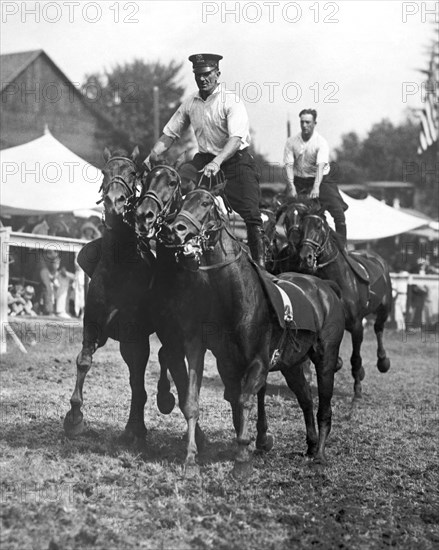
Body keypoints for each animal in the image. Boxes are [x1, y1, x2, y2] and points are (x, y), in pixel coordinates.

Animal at [63, 149, 187, 446]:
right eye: (104, 172)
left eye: (133, 174)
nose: (114, 201)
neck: (119, 267)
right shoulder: (93, 327)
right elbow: (83, 361)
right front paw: (74, 417)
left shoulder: (135, 338)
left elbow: (138, 380)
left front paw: (135, 428)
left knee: (165, 354)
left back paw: (164, 398)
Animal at [159, 185, 348, 478]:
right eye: (182, 201)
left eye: (205, 202)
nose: (175, 229)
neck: (234, 295)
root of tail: (326, 288)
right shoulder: (221, 360)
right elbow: (198, 401)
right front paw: (191, 457)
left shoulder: (258, 361)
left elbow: (245, 399)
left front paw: (242, 458)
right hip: (292, 364)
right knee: (306, 399)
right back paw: (310, 444)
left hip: (325, 358)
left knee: (324, 406)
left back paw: (319, 454)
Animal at [278, 198, 392, 402]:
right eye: (302, 227)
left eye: (319, 226)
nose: (305, 256)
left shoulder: (356, 325)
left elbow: (355, 358)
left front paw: (357, 391)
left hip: (385, 307)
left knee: (379, 328)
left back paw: (383, 361)